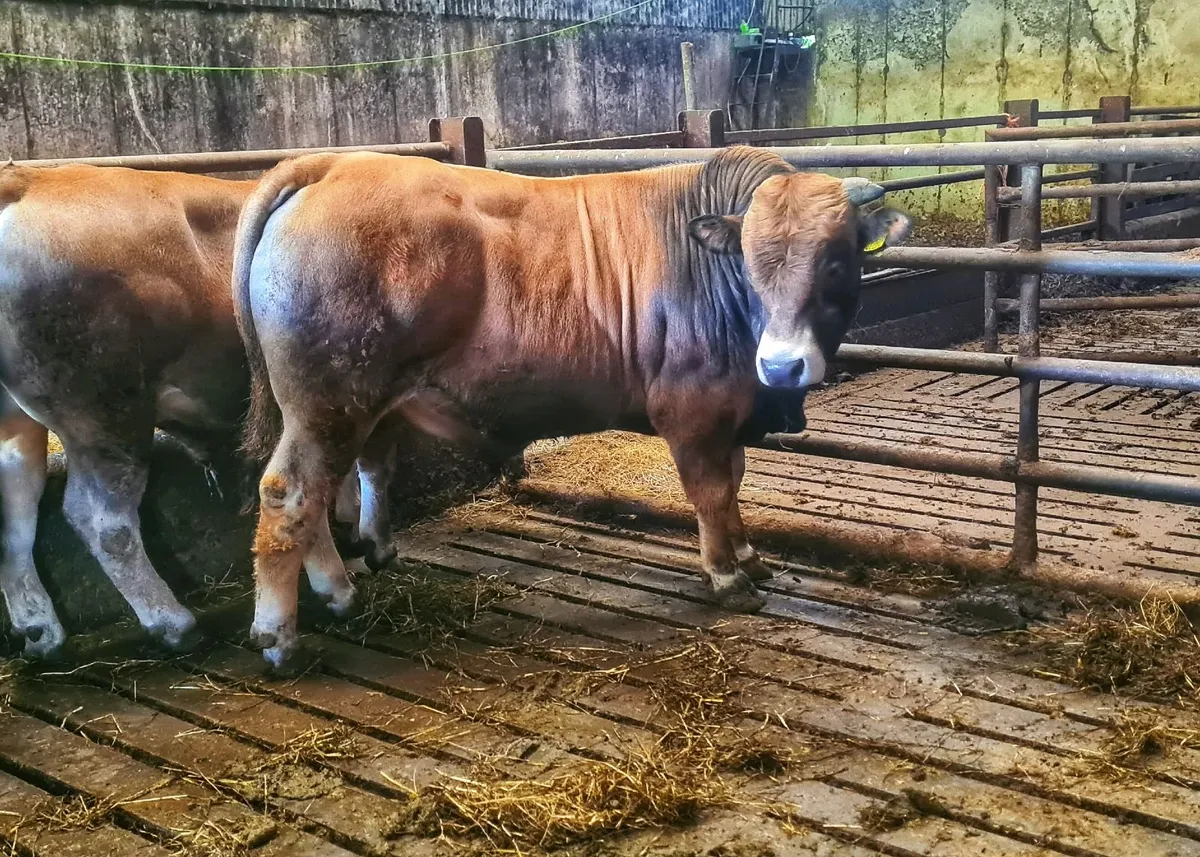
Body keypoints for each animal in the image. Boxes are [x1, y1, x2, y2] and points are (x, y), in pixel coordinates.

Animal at [0, 163, 405, 657]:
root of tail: (25, 182)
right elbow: (370, 468)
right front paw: (373, 546)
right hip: (105, 415)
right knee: (102, 520)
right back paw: (174, 623)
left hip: (20, 424)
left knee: (16, 516)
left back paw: (41, 631)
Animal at [233, 145, 912, 668]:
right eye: (749, 260)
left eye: (836, 260)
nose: (782, 365)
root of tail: (330, 162)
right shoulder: (694, 411)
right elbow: (712, 492)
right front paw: (727, 576)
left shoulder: (732, 416)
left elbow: (736, 484)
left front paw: (749, 557)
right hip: (326, 399)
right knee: (289, 491)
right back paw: (280, 634)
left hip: (348, 404)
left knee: (339, 484)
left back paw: (346, 584)